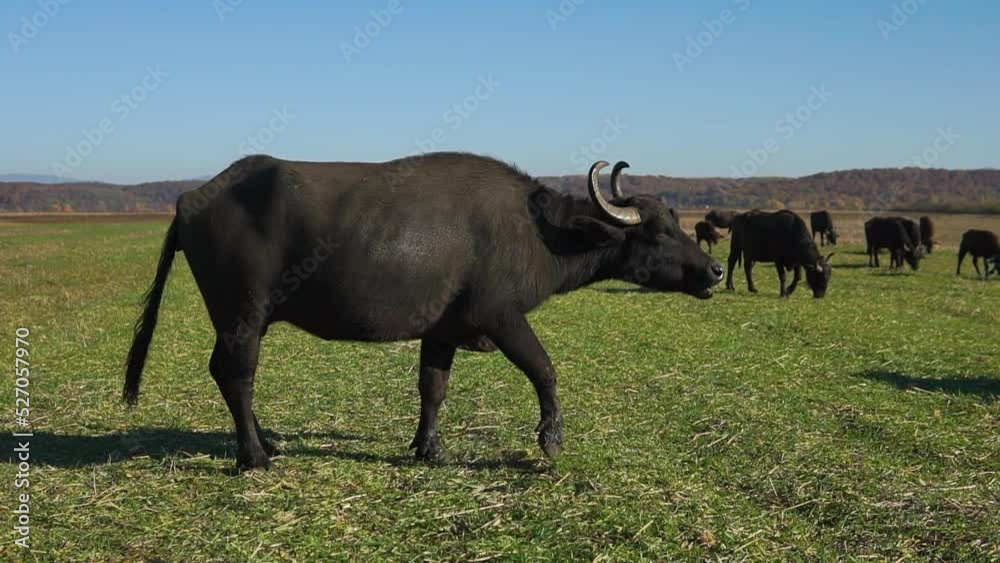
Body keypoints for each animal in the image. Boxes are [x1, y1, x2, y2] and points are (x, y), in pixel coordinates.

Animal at [125, 153, 724, 472]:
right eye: (657, 231)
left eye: (676, 222)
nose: (715, 272)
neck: (538, 233)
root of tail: (191, 199)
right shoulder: (502, 318)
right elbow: (545, 370)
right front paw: (551, 439)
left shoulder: (442, 331)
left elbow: (433, 388)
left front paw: (428, 448)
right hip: (242, 317)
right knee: (235, 375)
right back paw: (255, 456)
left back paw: (263, 443)